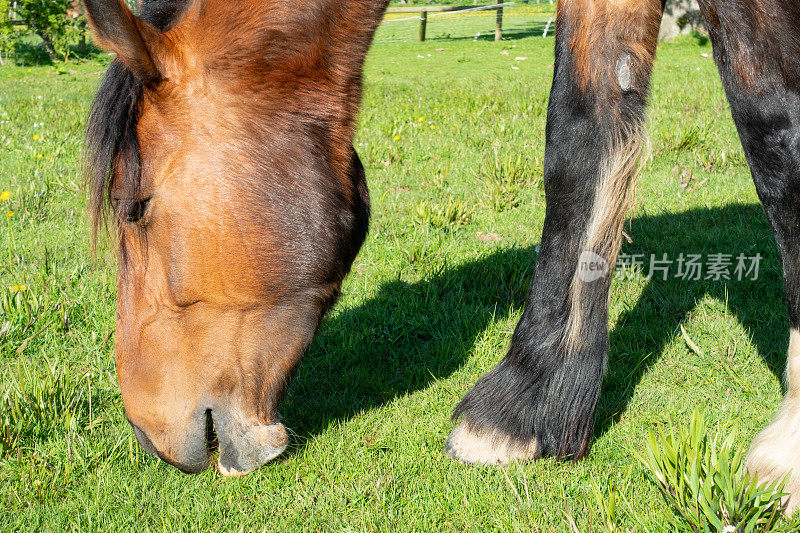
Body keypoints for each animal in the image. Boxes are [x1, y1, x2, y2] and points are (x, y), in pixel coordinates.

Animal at [81, 0, 800, 510]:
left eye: (135, 206)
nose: (146, 433)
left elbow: (772, 123)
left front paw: (789, 444)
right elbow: (580, 133)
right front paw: (531, 400)